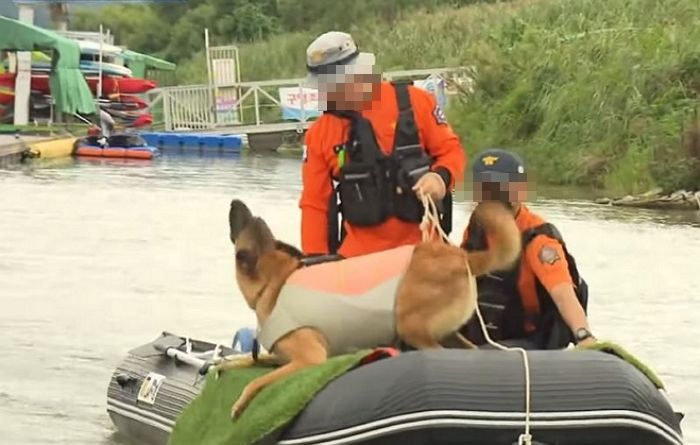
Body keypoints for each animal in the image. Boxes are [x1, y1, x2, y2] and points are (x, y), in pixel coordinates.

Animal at [216, 199, 524, 418]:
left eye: (244, 221)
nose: (234, 202)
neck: (276, 282)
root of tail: (463, 257)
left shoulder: (311, 359)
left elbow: (260, 381)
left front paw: (240, 402)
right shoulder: (285, 357)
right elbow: (256, 362)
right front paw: (229, 364)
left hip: (410, 326)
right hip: (446, 333)